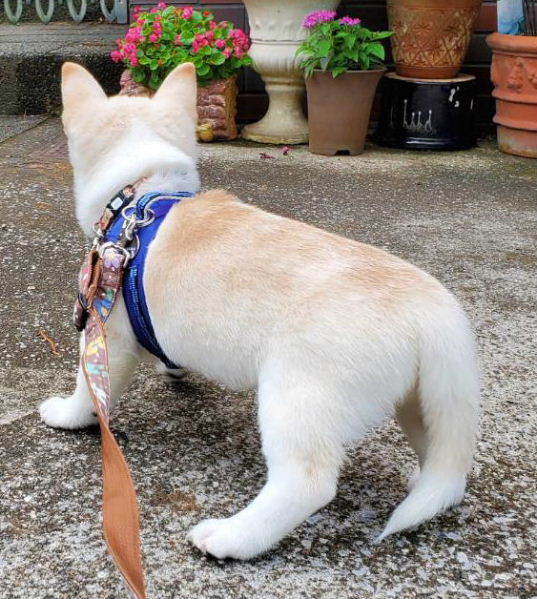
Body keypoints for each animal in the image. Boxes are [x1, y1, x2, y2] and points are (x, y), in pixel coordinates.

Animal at [40, 62, 480, 560]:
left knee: (307, 483)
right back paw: (424, 482)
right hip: (428, 400)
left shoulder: (105, 331)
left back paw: (232, 537)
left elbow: (89, 387)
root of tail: (433, 309)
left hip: (295, 395)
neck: (142, 193)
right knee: (446, 468)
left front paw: (71, 415)